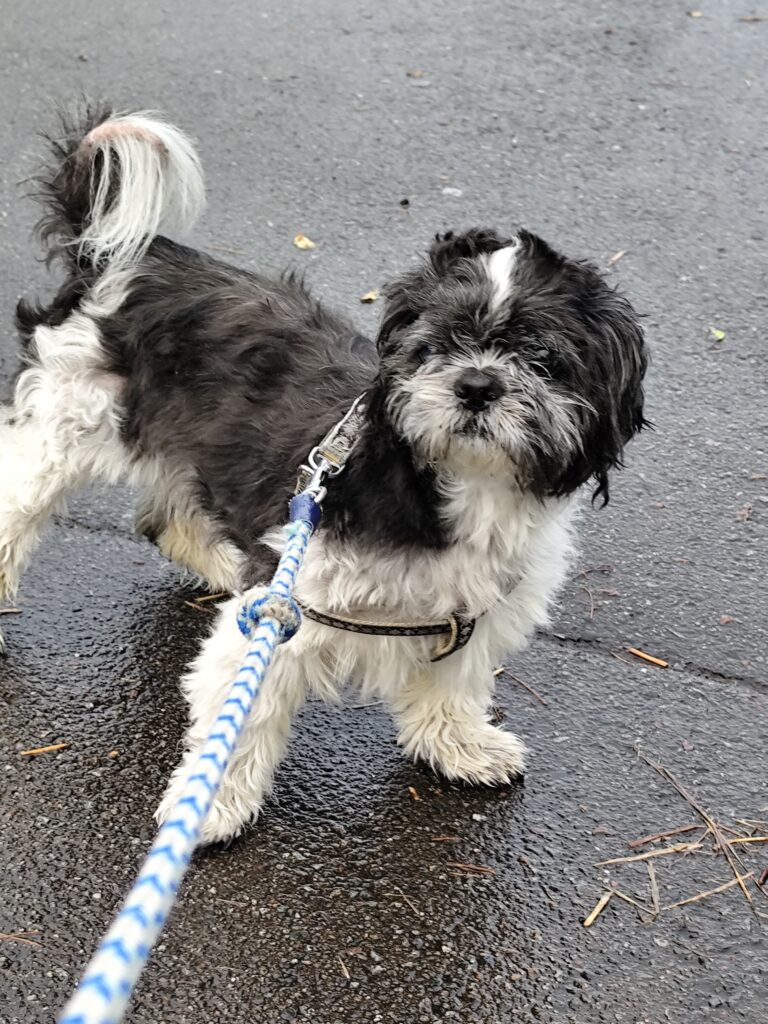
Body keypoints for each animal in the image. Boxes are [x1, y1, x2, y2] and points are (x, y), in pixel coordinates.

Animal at [0, 104, 647, 843]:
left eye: (541, 357)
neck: (453, 488)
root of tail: (125, 259)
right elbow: (239, 718)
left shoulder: (474, 613)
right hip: (63, 427)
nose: (478, 384)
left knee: (167, 517)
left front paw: (458, 744)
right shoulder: (284, 614)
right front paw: (208, 805)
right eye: (436, 345)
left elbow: (451, 687)